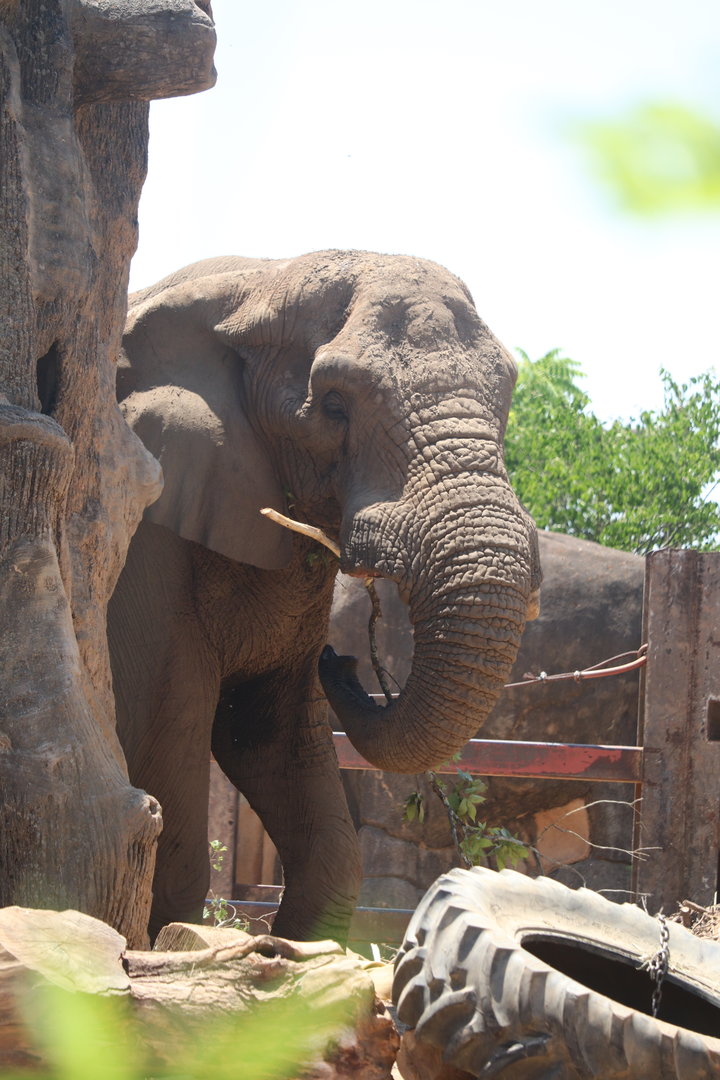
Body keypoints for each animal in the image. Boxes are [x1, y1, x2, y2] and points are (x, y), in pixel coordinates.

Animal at [108, 250, 539, 943]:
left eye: (507, 394)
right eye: (334, 405)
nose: (343, 661)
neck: (260, 280)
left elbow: (266, 732)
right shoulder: (143, 518)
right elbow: (161, 718)